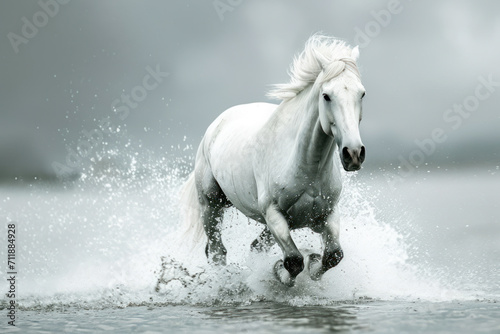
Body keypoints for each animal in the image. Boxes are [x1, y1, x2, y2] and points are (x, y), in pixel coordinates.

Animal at [182, 34, 366, 286]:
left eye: (362, 94)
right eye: (326, 96)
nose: (354, 153)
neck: (307, 167)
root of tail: (216, 125)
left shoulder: (327, 213)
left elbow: (333, 255)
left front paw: (313, 263)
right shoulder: (274, 215)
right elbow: (293, 261)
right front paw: (281, 273)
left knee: (252, 248)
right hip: (211, 205)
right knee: (218, 251)